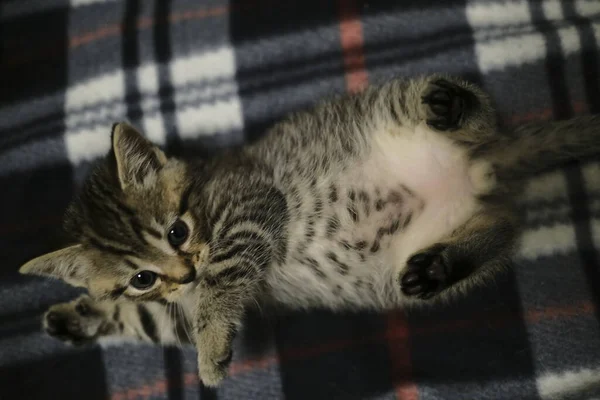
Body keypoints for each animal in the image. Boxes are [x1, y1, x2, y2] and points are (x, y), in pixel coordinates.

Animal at [18, 74, 600, 384]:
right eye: (142, 278)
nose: (182, 273)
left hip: (396, 107)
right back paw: (439, 266)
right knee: (501, 228)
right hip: (418, 259)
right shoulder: (174, 306)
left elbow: (220, 280)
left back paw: (454, 105)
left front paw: (211, 351)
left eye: (177, 233)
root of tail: (486, 166)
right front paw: (75, 318)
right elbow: (145, 319)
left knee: (470, 117)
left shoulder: (251, 206)